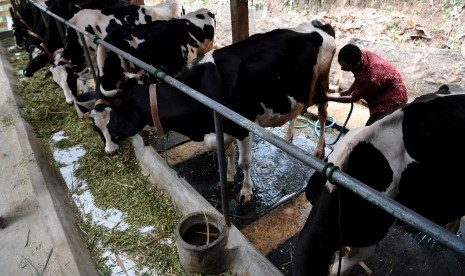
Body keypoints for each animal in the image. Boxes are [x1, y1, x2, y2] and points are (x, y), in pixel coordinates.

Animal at [88, 20, 334, 203]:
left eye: (120, 111)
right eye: (96, 126)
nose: (110, 144)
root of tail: (320, 24)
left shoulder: (243, 127)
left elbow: (244, 161)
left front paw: (245, 191)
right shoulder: (221, 130)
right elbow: (228, 154)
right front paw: (229, 176)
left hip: (321, 84)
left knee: (322, 113)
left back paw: (320, 149)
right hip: (301, 90)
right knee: (299, 110)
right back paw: (290, 135)